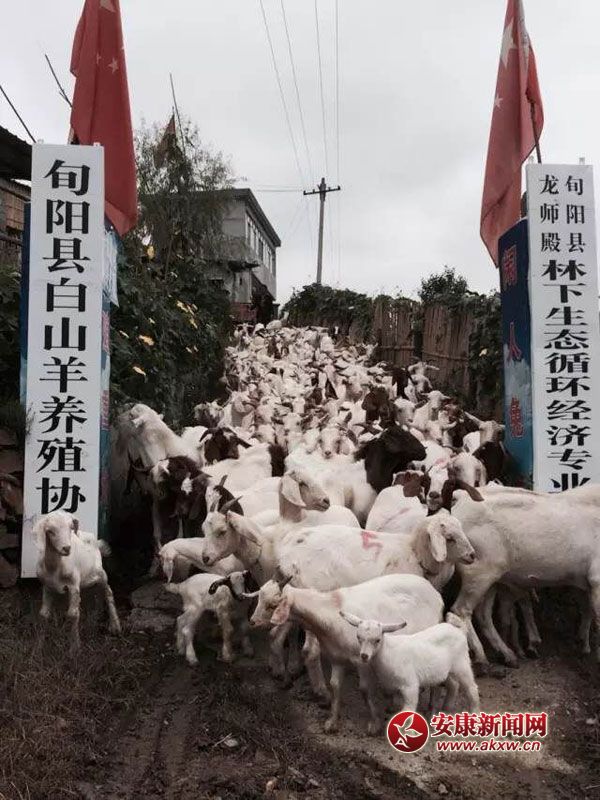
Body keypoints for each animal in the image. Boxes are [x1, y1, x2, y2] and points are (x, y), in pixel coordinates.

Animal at [34, 511, 121, 653]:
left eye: (70, 527)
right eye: (50, 531)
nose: (66, 548)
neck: (55, 567)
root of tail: (94, 539)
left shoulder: (73, 585)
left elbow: (73, 614)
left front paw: (74, 648)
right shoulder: (47, 586)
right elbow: (43, 615)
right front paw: (38, 647)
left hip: (100, 573)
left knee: (108, 592)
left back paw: (115, 626)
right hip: (87, 579)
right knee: (97, 593)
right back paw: (94, 619)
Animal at [249, 573, 443, 733]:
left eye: (272, 605)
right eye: (259, 598)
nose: (252, 621)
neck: (330, 610)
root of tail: (436, 594)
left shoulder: (361, 659)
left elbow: (364, 689)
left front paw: (375, 723)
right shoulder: (337, 658)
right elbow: (335, 686)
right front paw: (332, 722)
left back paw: (431, 707)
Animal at [342, 611, 479, 718]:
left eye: (377, 640)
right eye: (358, 637)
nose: (364, 656)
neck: (388, 651)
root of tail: (459, 629)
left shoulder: (410, 685)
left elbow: (408, 709)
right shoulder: (392, 686)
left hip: (462, 664)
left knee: (471, 688)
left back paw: (475, 713)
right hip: (447, 669)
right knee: (453, 685)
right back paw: (446, 710)